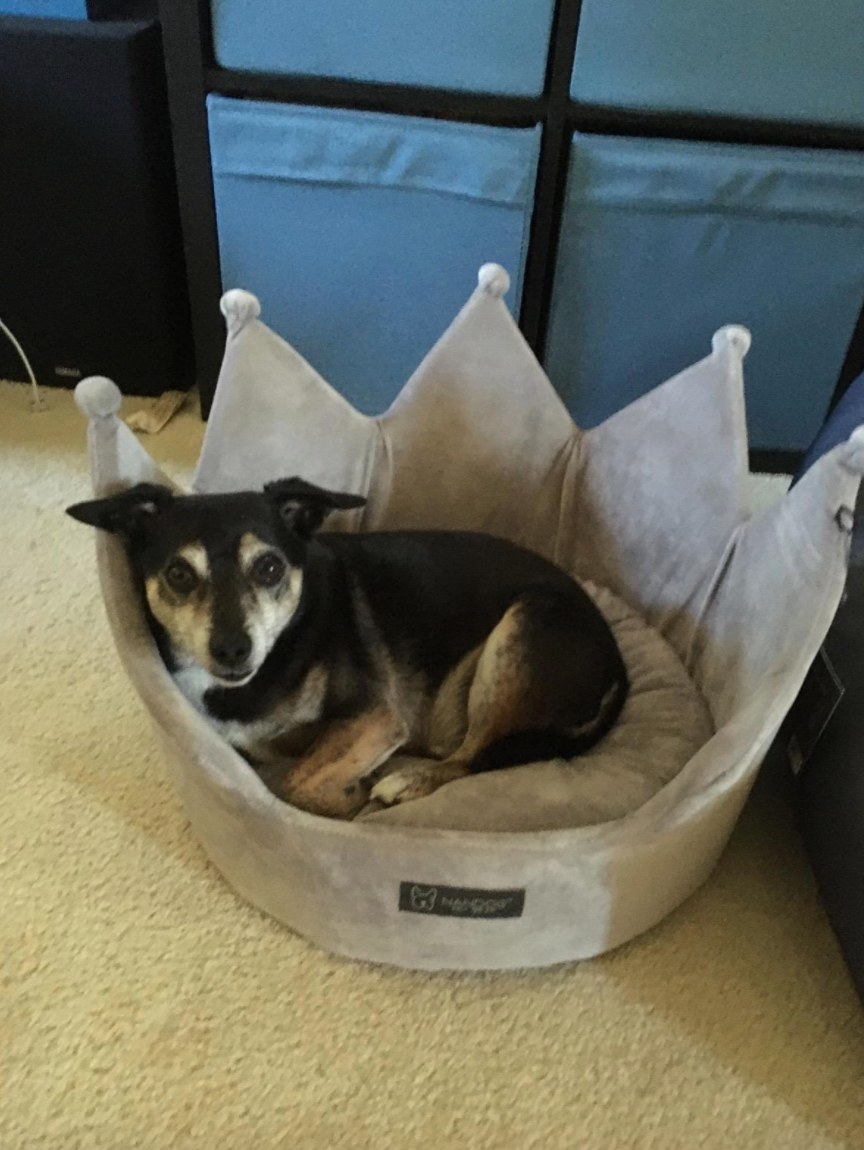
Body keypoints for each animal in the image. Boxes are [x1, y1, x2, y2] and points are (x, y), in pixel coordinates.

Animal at [67, 476, 630, 818]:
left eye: (268, 567)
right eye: (180, 574)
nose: (232, 649)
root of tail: (619, 665)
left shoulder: (377, 716)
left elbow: (292, 785)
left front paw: (351, 792)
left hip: (519, 633)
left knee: (473, 759)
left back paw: (405, 782)